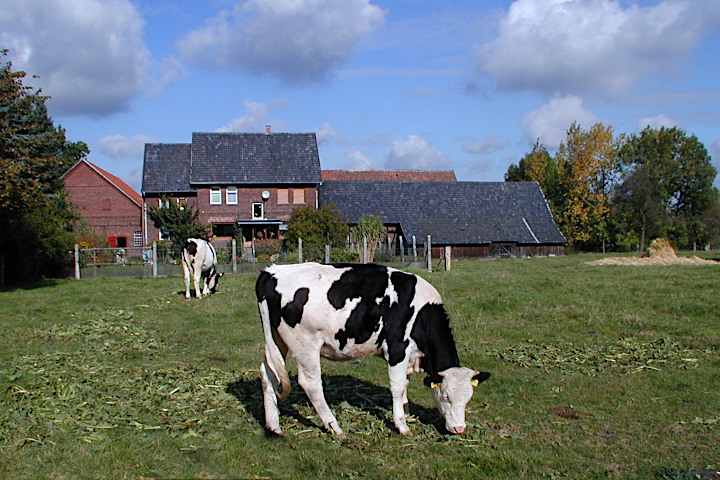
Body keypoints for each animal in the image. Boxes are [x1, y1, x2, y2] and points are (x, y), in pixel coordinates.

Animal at [256, 262, 492, 438]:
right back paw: (335, 428)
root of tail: (272, 272)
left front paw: (406, 413)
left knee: (268, 374)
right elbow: (397, 387)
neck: (422, 313)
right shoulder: (397, 350)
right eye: (445, 397)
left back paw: (273, 426)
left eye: (468, 399)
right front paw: (402, 425)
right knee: (311, 384)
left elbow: (404, 386)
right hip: (305, 345)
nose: (459, 428)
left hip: (276, 340)